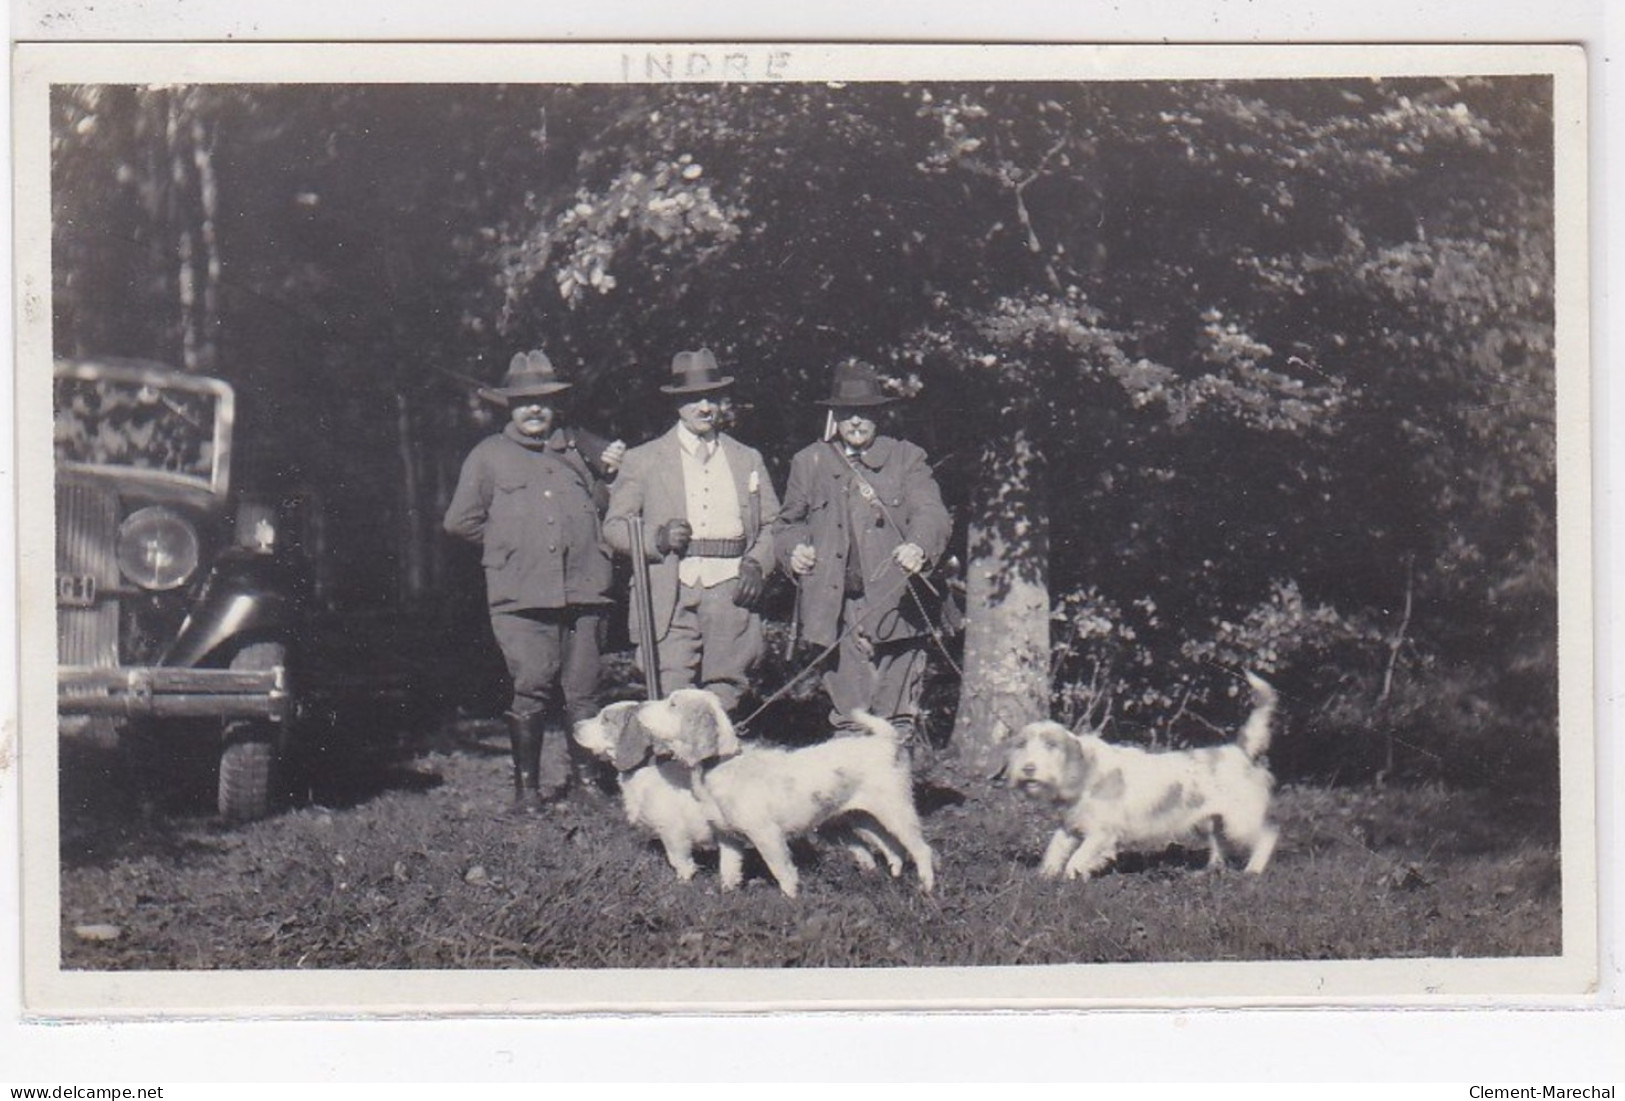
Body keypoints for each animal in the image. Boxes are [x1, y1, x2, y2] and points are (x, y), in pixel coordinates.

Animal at [581, 695, 942, 902]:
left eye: (672, 704)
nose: (574, 726)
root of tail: (886, 741)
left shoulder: (754, 835)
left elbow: (779, 870)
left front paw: (791, 900)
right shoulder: (727, 836)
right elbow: (729, 870)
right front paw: (725, 896)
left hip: (895, 811)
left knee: (921, 849)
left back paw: (926, 887)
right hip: (854, 820)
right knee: (888, 847)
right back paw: (890, 876)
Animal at [1001, 669, 1280, 883]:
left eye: (1051, 745)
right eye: (1022, 745)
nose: (1028, 768)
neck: (1086, 772)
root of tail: (1238, 750)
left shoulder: (1101, 833)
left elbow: (1077, 858)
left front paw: (1070, 879)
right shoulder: (1070, 826)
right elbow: (1054, 849)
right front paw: (1045, 876)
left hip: (1241, 819)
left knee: (1268, 834)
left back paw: (1253, 870)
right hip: (1209, 820)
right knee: (1220, 842)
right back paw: (1209, 871)